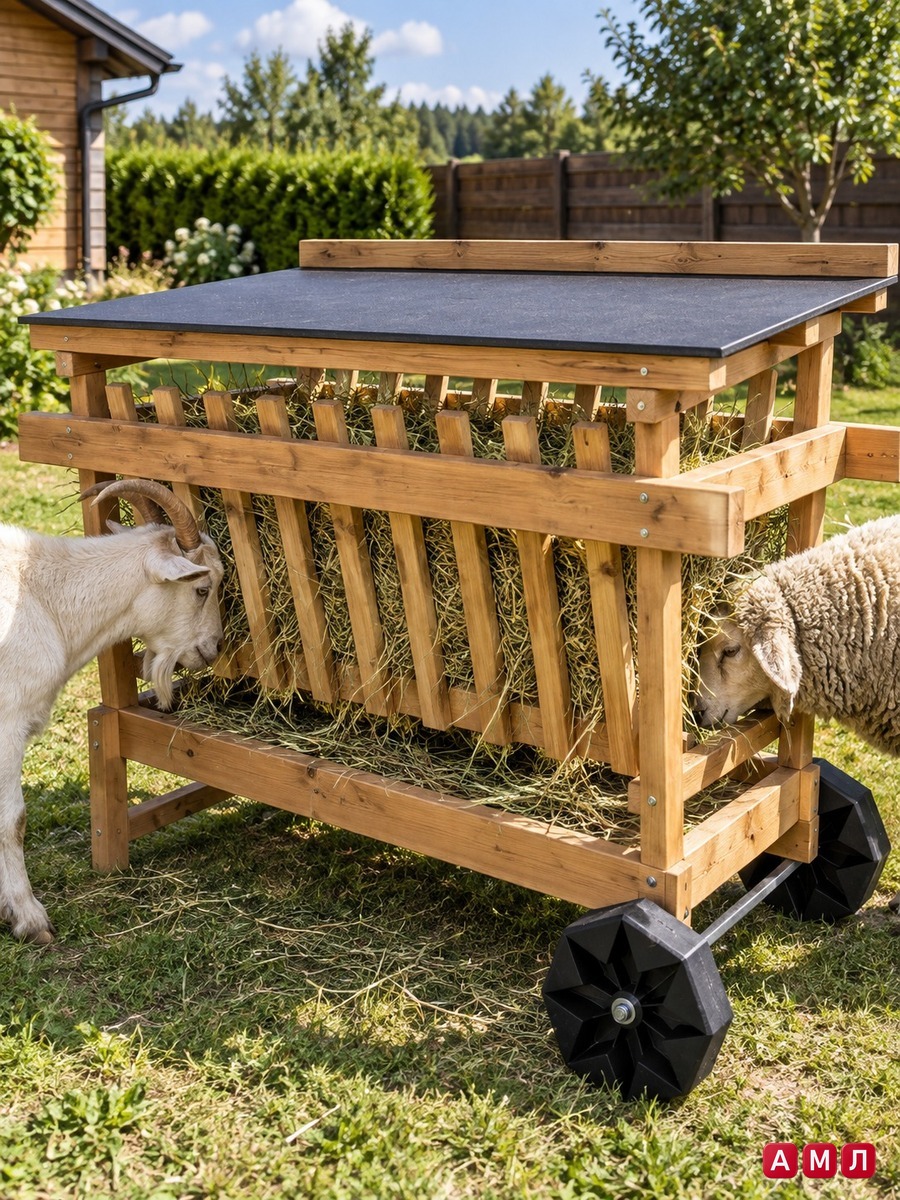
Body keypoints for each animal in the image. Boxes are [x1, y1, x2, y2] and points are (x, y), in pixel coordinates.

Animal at [0, 479, 224, 944]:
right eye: (202, 588)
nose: (215, 647)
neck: (47, 599)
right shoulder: (7, 722)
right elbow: (13, 819)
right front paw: (28, 918)